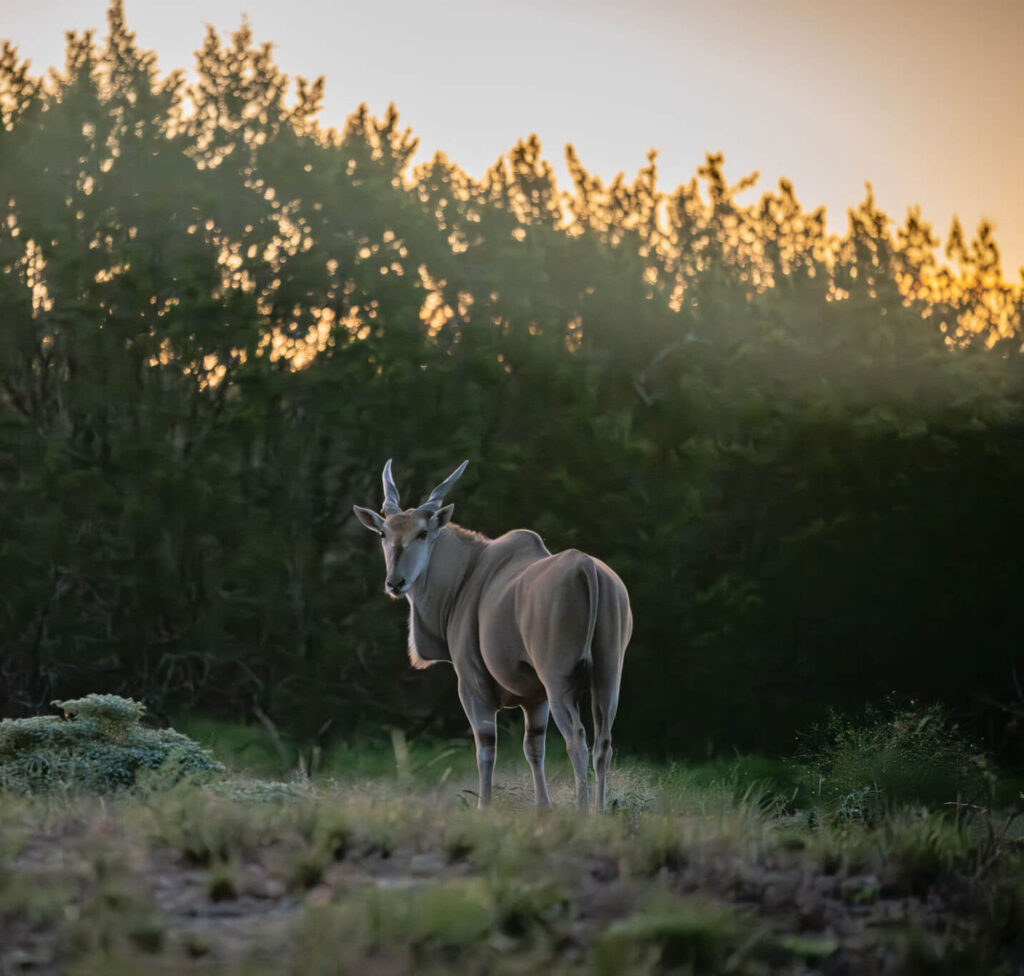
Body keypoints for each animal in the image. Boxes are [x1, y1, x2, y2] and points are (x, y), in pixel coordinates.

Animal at [353, 460, 632, 812]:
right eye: (383, 533)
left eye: (422, 533)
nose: (395, 582)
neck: (467, 573)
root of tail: (587, 568)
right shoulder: (534, 697)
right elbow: (533, 747)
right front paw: (543, 809)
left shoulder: (473, 684)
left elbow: (485, 747)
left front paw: (483, 807)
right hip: (607, 678)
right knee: (603, 743)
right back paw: (598, 813)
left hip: (559, 682)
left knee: (577, 740)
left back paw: (582, 812)